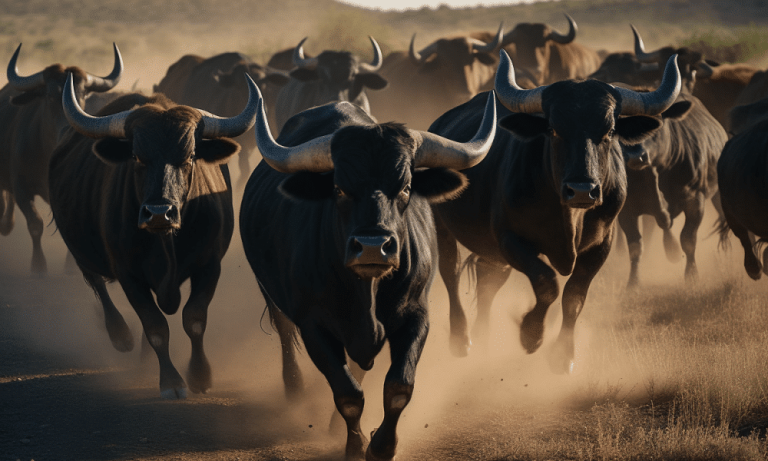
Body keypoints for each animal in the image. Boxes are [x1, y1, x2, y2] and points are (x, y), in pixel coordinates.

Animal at [0, 43, 122, 273]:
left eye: (83, 96)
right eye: (49, 96)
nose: (68, 130)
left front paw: (71, 267)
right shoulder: (22, 189)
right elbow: (35, 224)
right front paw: (38, 266)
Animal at [48, 72, 259, 399]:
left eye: (190, 156)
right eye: (137, 156)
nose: (159, 213)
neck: (166, 241)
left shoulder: (210, 265)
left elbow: (194, 320)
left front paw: (199, 375)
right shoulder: (128, 274)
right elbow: (156, 328)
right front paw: (171, 381)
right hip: (80, 251)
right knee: (98, 286)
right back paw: (121, 336)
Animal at [240, 85, 496, 460]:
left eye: (406, 187)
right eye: (339, 188)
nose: (373, 246)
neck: (367, 292)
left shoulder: (416, 315)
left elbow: (398, 387)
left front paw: (382, 445)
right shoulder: (313, 325)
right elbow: (347, 393)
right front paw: (355, 444)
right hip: (269, 292)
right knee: (285, 333)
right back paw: (295, 389)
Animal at [429, 50, 681, 373]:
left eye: (610, 130)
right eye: (553, 129)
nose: (582, 190)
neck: (570, 218)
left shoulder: (602, 245)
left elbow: (574, 296)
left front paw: (564, 355)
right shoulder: (511, 240)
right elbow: (546, 282)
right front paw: (531, 333)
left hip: (493, 254)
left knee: (488, 283)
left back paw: (483, 338)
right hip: (443, 227)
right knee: (451, 271)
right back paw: (462, 339)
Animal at [617, 92, 727, 288]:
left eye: (656, 125)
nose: (636, 156)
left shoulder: (695, 201)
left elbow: (688, 239)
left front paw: (691, 276)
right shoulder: (627, 209)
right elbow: (635, 246)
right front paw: (633, 282)